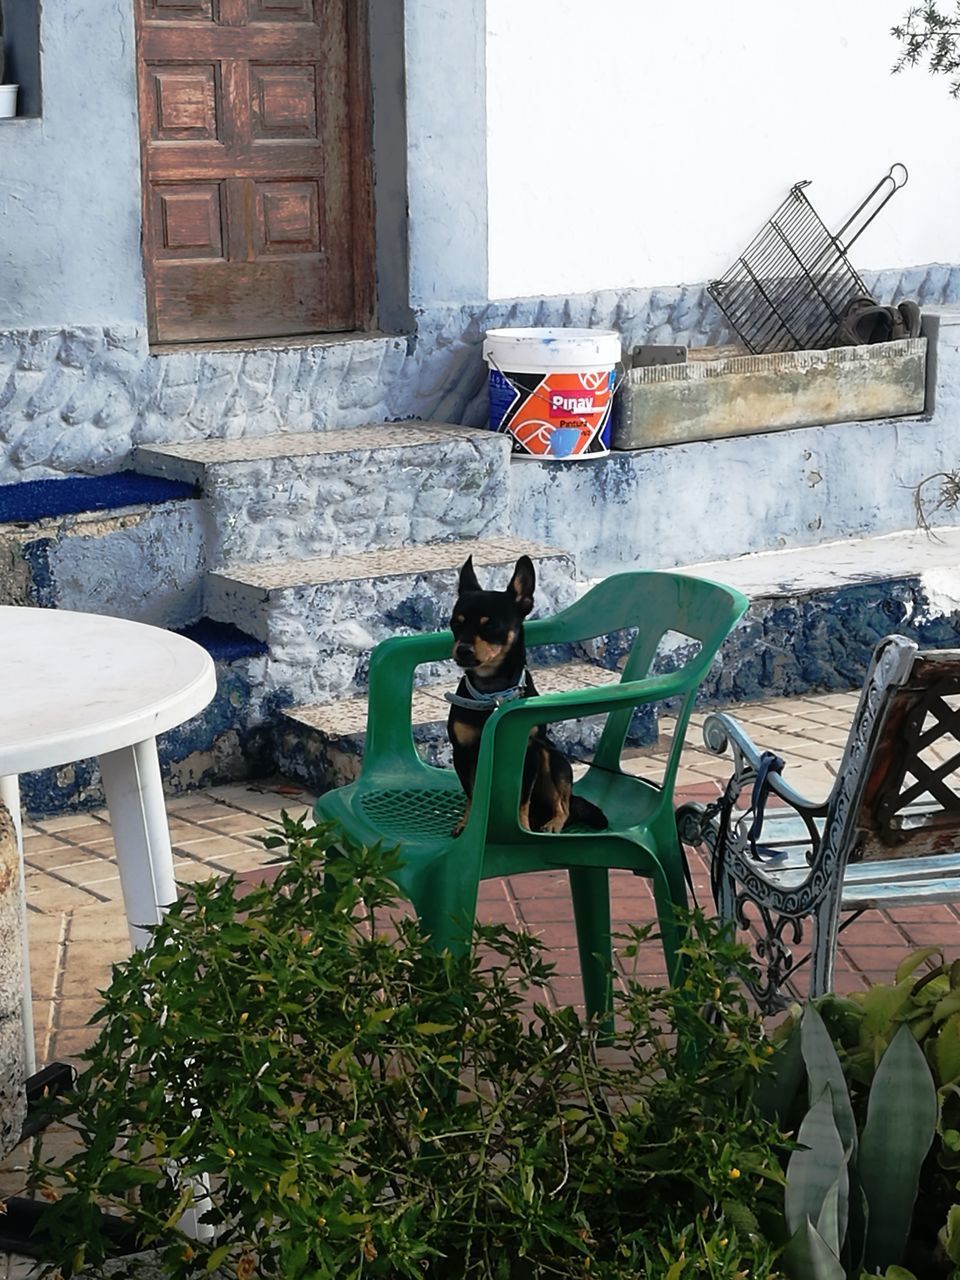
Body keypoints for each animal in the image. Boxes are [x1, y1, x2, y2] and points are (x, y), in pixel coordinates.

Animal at [445, 552, 609, 834]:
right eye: (455, 623)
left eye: (491, 626)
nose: (463, 650)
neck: (493, 693)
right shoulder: (463, 753)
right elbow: (472, 794)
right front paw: (467, 824)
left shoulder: (529, 754)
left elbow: (521, 798)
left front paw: (521, 826)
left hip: (552, 758)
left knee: (565, 803)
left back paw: (552, 823)